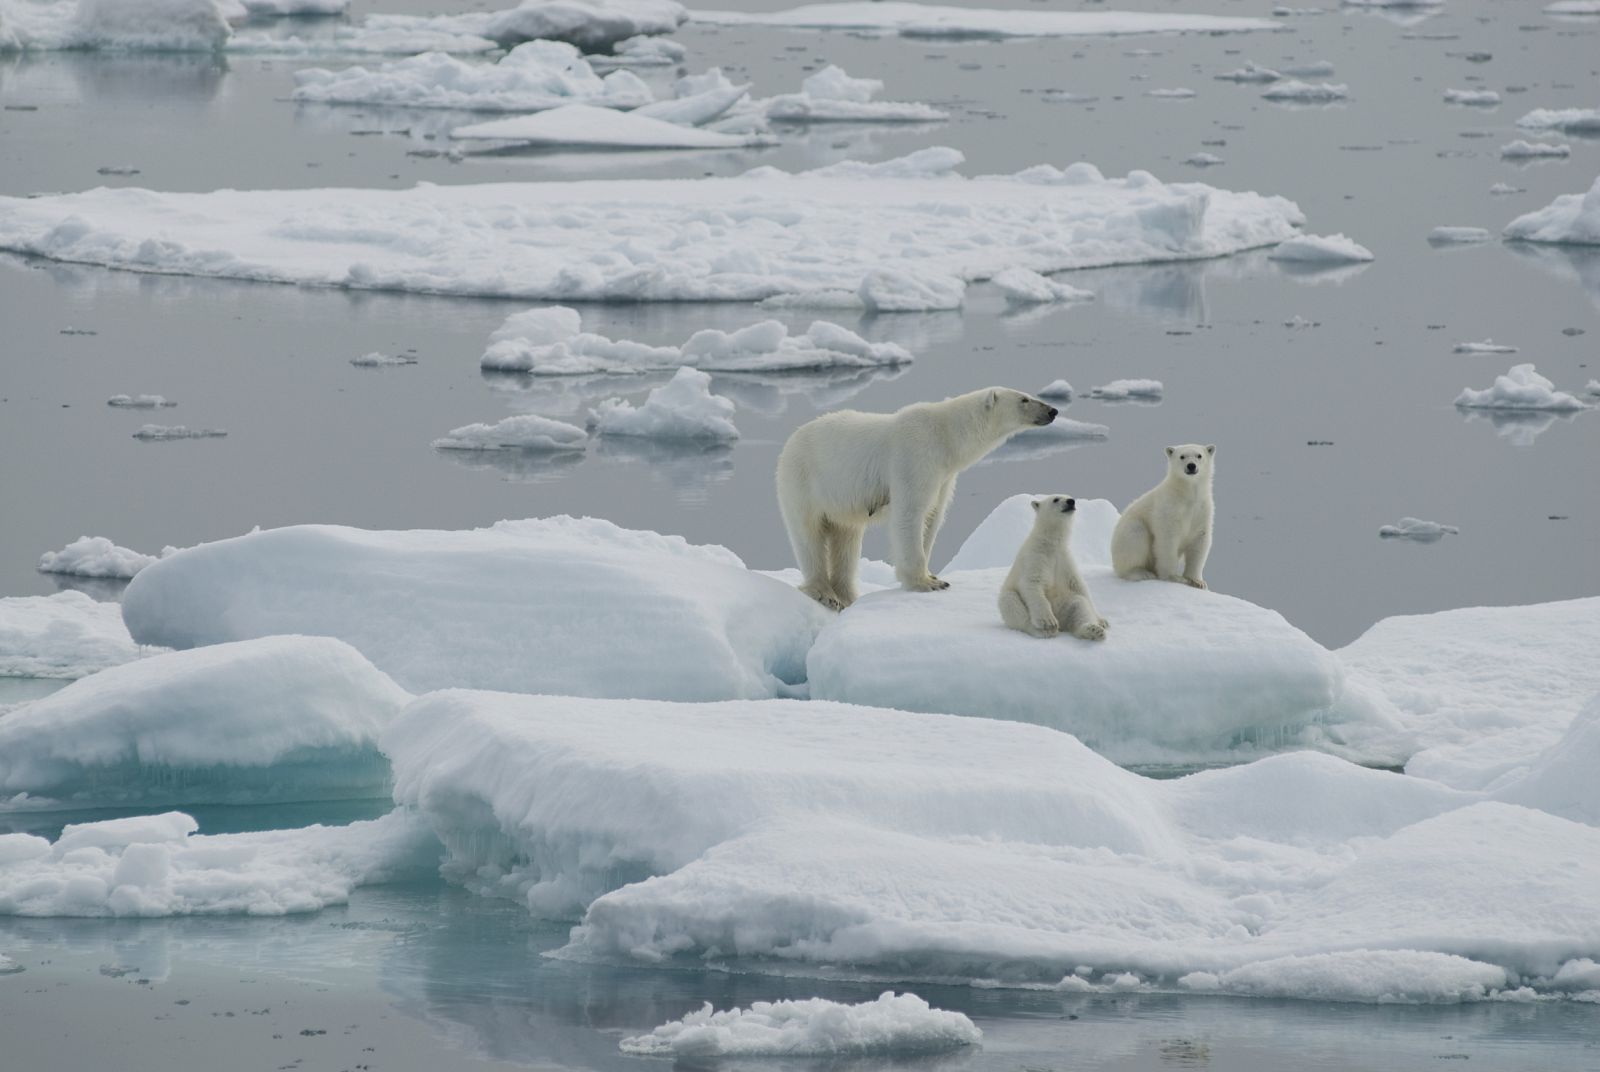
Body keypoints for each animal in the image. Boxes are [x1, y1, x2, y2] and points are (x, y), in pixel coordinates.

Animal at [777, 387, 1056, 608]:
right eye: (1024, 399)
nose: (1053, 410)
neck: (946, 435)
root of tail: (789, 442)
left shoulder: (944, 476)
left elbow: (933, 517)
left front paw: (933, 575)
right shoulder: (915, 456)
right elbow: (910, 513)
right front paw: (925, 583)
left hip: (841, 503)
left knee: (846, 539)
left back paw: (846, 596)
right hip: (803, 481)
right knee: (808, 534)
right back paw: (824, 593)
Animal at [992, 499, 1107, 643]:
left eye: (1070, 497)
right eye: (1055, 499)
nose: (1071, 501)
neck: (1050, 543)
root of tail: (1062, 624)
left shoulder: (1064, 559)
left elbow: (1079, 586)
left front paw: (1101, 621)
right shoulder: (1035, 556)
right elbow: (1032, 582)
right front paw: (1048, 621)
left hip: (1063, 604)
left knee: (1079, 604)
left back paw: (1093, 630)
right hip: (1015, 599)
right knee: (1011, 603)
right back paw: (1044, 630)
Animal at [1113, 441, 1209, 592]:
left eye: (1199, 455)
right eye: (1182, 456)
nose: (1191, 466)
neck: (1187, 494)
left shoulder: (1201, 511)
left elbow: (1199, 542)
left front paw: (1198, 582)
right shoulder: (1169, 508)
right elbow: (1167, 540)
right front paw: (1174, 577)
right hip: (1128, 533)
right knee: (1136, 536)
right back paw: (1141, 573)